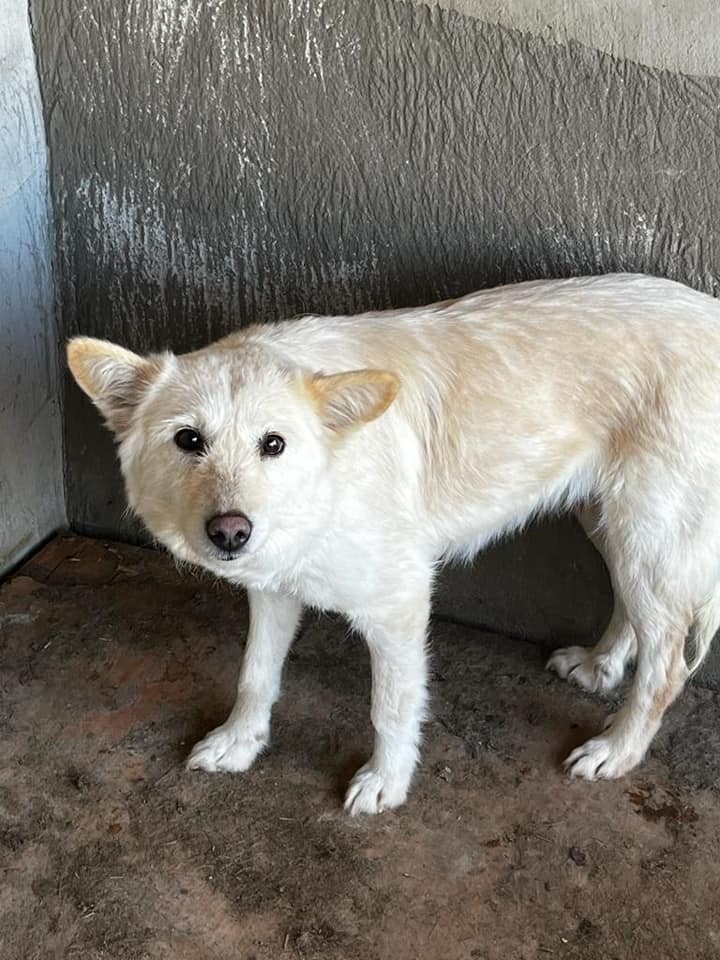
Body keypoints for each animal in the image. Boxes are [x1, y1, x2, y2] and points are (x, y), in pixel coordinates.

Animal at [67, 273, 720, 814]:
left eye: (273, 444)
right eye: (188, 440)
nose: (231, 531)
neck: (331, 476)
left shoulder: (399, 603)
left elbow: (392, 706)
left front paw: (387, 782)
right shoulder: (274, 588)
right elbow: (255, 674)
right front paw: (239, 743)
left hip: (648, 530)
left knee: (667, 663)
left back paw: (618, 749)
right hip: (610, 519)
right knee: (635, 609)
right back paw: (602, 663)